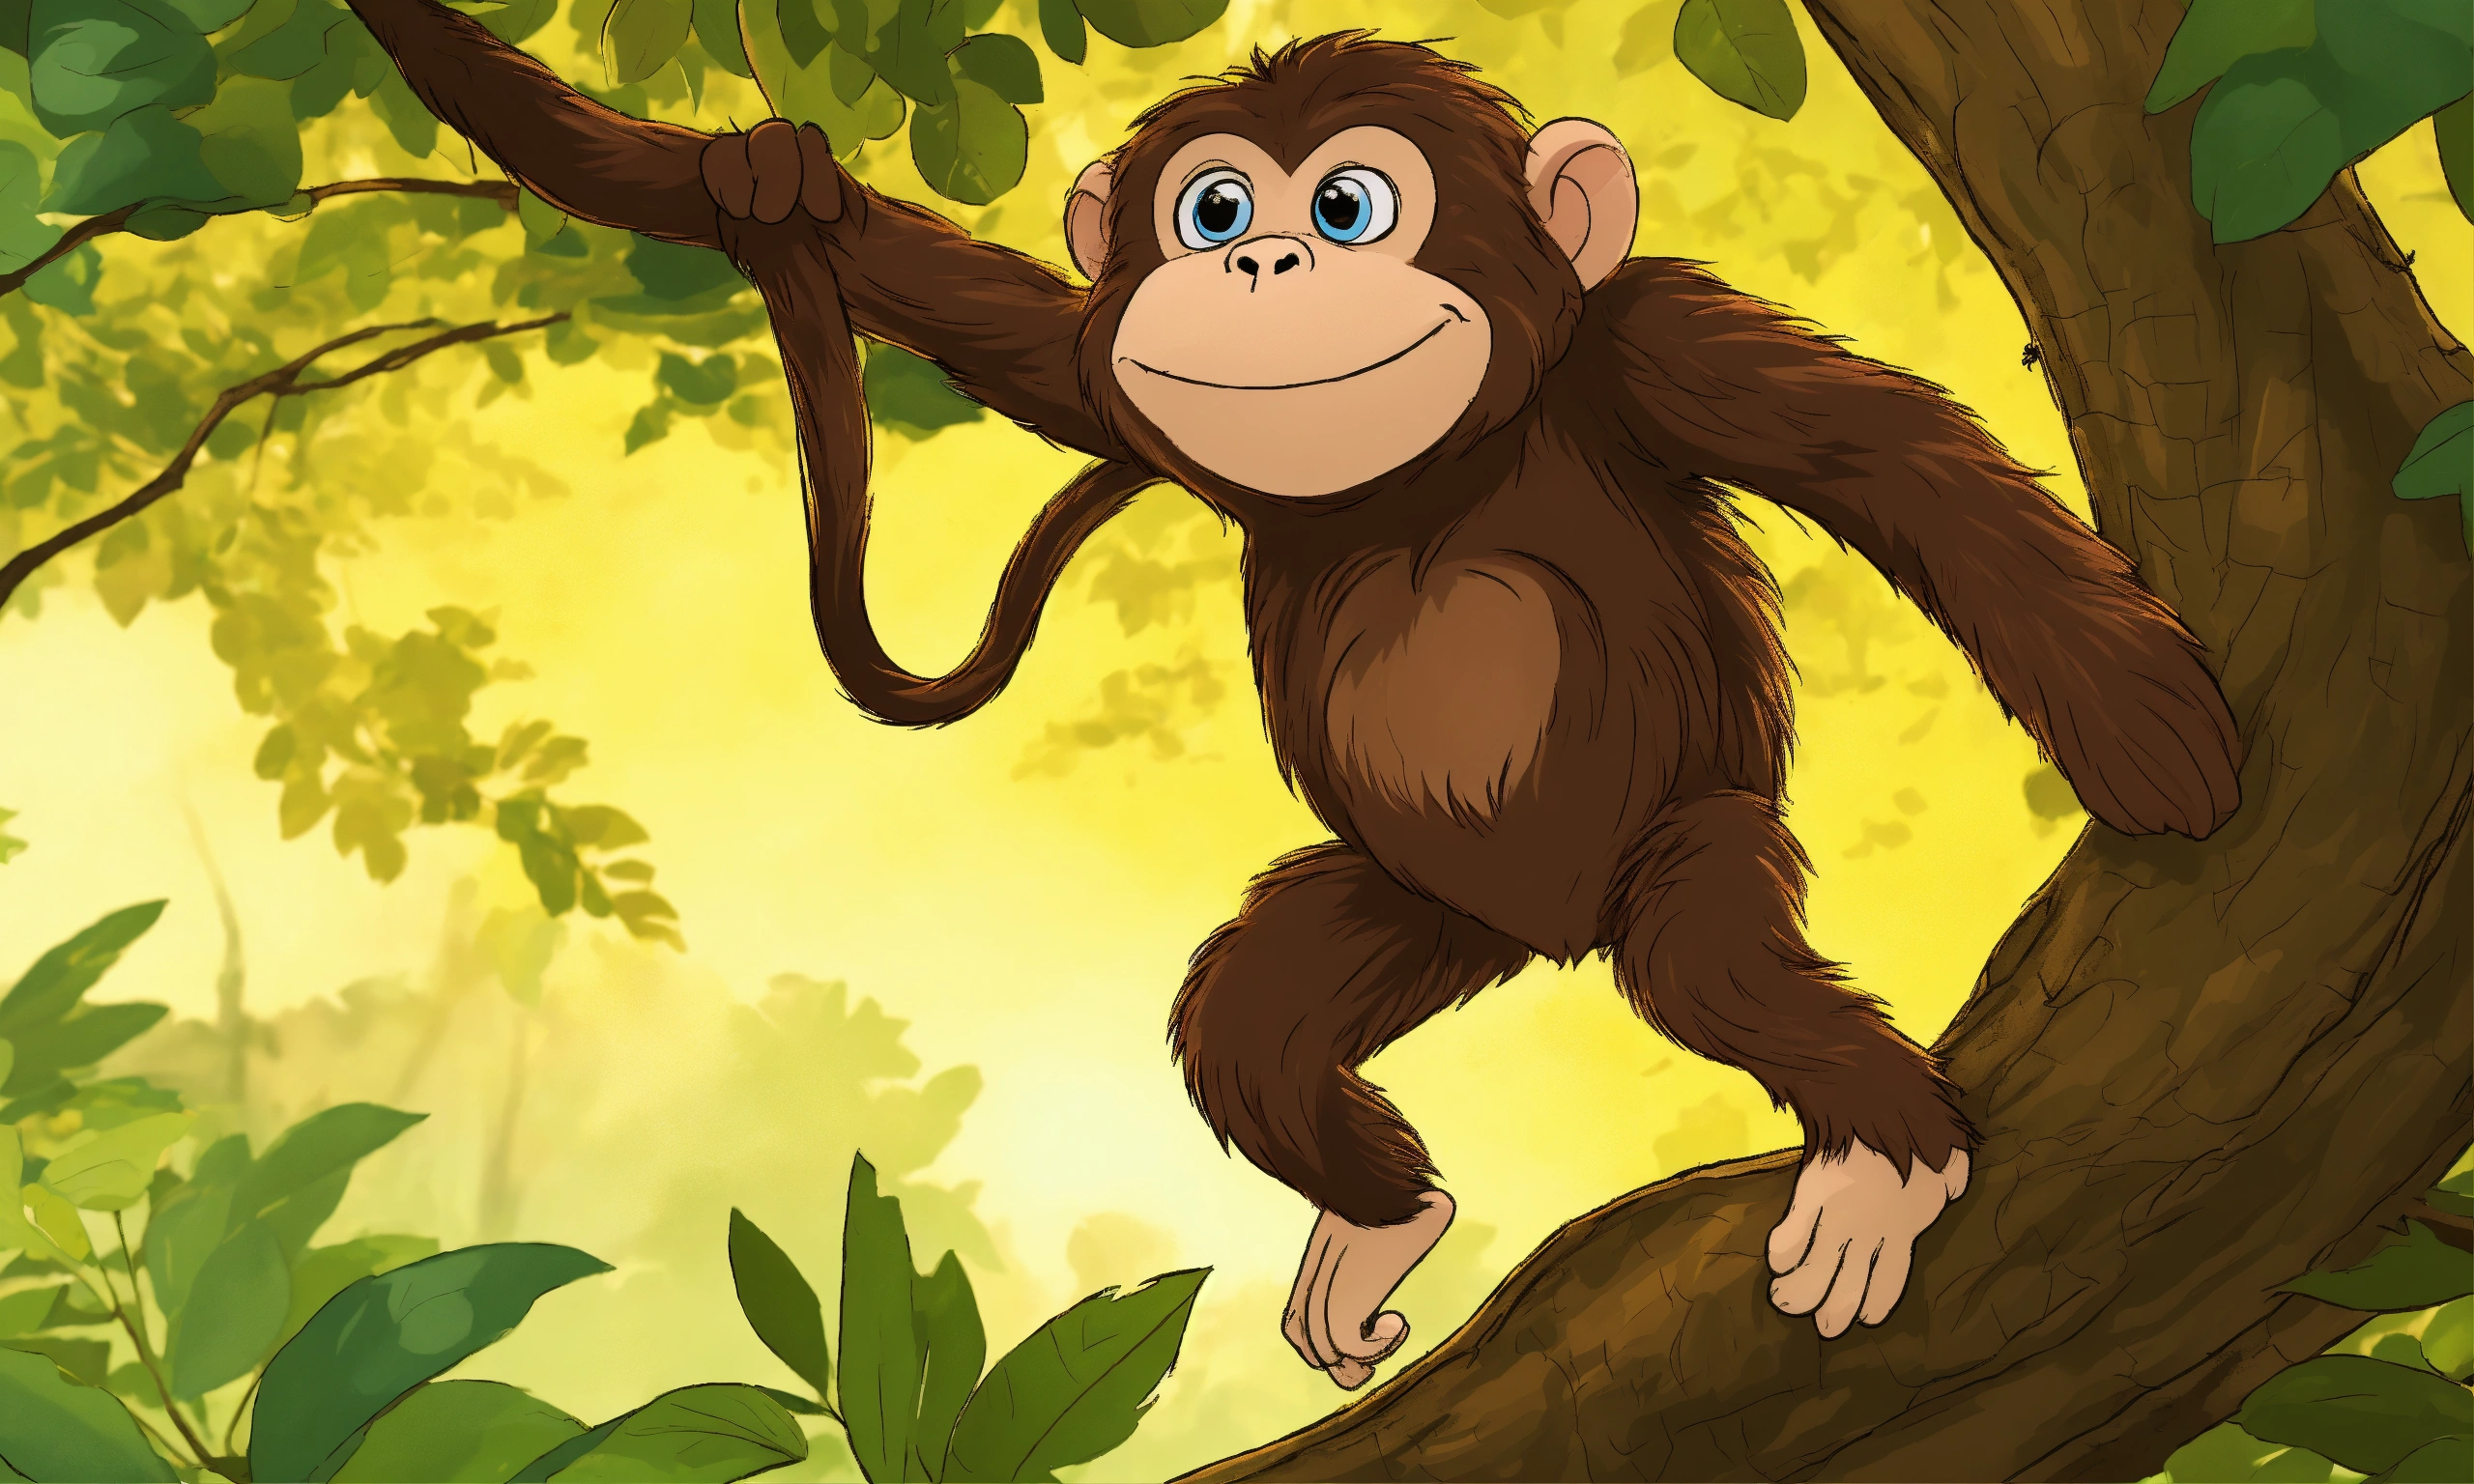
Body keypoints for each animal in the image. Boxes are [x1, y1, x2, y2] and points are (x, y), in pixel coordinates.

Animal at [346, 5, 2244, 1390]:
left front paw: (2158, 737)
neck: (1422, 474)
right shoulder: (1101, 373)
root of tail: (1541, 933)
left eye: (1347, 205)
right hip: (1403, 908)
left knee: (1708, 959)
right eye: (1211, 210)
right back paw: (1380, 1219)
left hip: (1694, 839)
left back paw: (1882, 1160)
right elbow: (954, 303)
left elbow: (1889, 463)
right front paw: (764, 181)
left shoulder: (1652, 339)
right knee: (1250, 1019)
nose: (1260, 264)